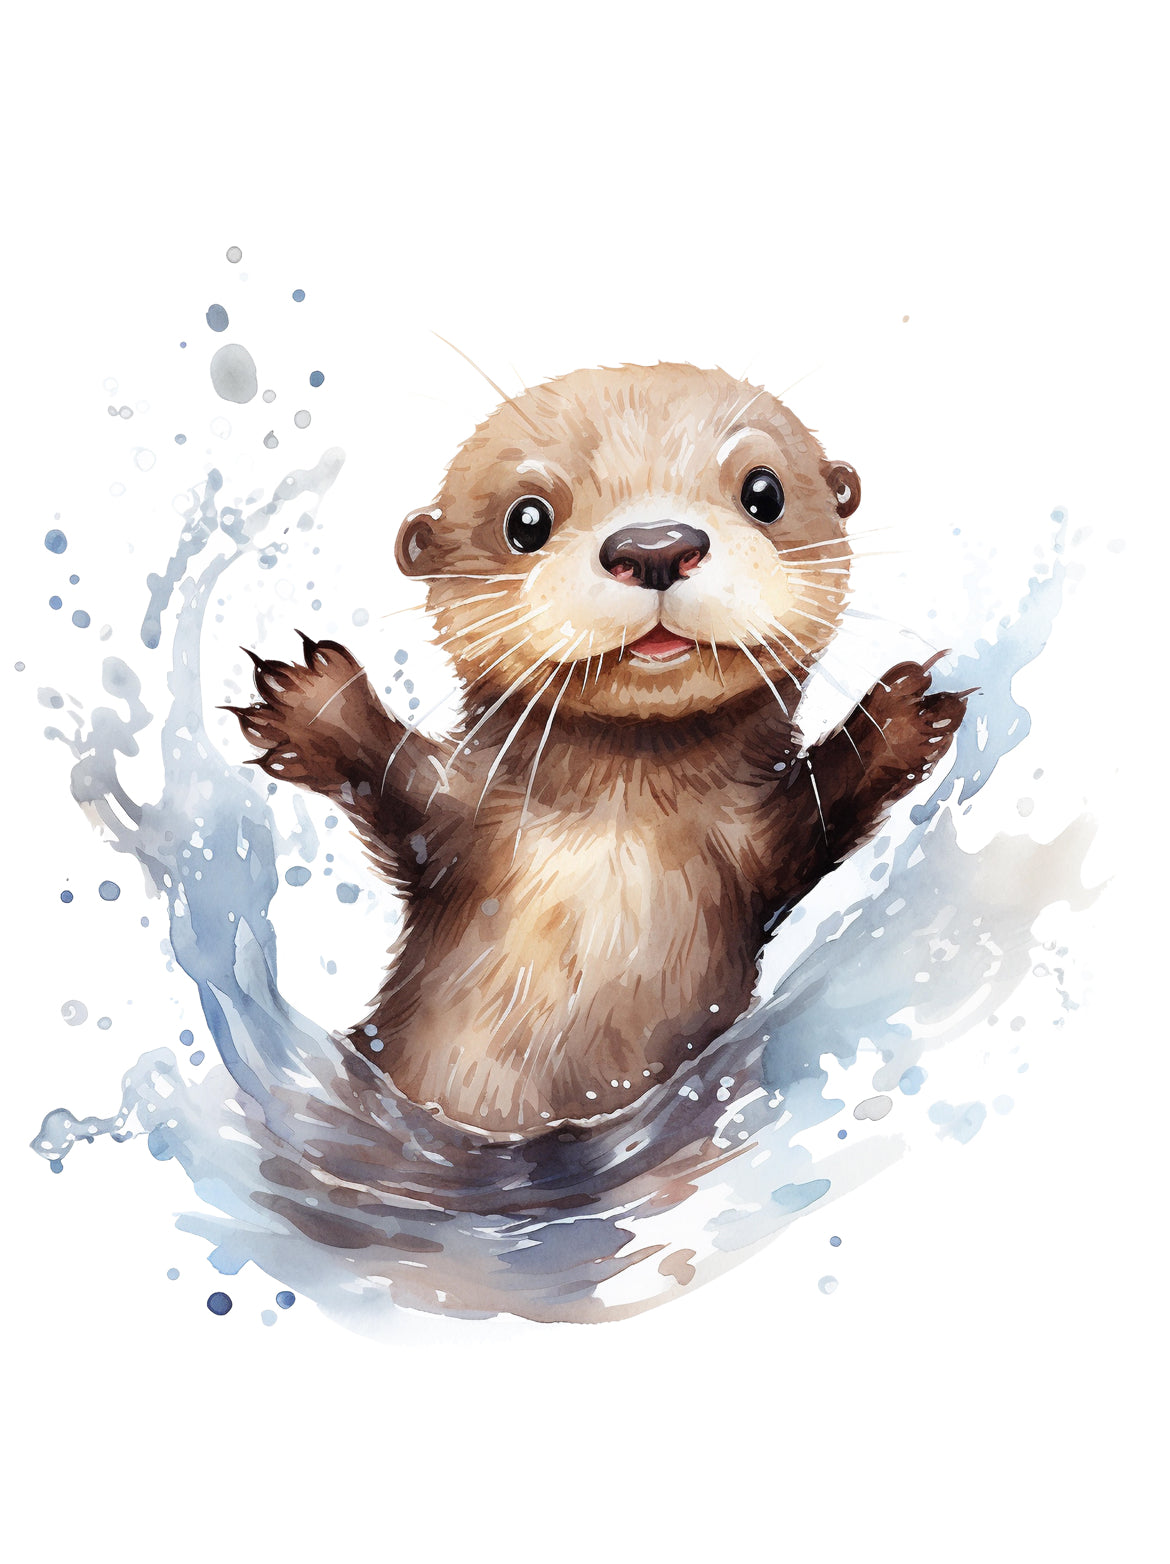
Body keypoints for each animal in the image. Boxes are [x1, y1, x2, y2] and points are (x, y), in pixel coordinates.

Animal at [230, 362, 966, 1141]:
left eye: (763, 492)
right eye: (526, 520)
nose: (655, 546)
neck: (619, 827)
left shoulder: (759, 846)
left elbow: (817, 813)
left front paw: (896, 719)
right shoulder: (458, 823)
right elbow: (399, 783)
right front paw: (317, 701)